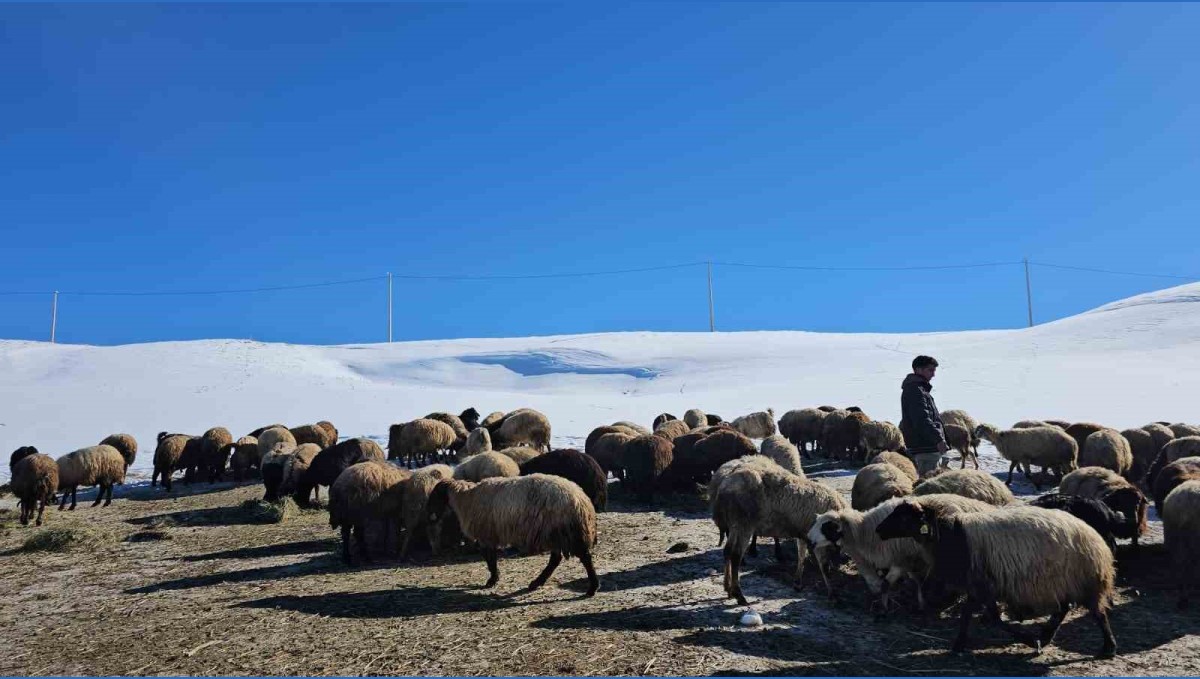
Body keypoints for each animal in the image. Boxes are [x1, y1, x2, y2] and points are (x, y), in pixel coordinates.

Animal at [427, 477, 604, 599]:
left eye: (434, 496)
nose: (431, 517)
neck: (466, 498)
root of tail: (582, 501)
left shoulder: (487, 535)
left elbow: (490, 559)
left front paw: (492, 580)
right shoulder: (489, 535)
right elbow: (490, 558)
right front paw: (494, 579)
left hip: (566, 533)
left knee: (584, 558)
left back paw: (592, 588)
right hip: (556, 534)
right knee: (556, 559)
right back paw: (536, 583)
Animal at [710, 460, 844, 604]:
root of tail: (725, 484)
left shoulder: (804, 535)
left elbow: (801, 556)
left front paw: (798, 582)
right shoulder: (818, 539)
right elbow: (823, 565)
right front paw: (832, 594)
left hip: (735, 525)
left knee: (727, 551)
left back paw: (728, 588)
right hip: (744, 525)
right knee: (736, 555)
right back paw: (739, 595)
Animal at [811, 494, 998, 611]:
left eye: (827, 527)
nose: (810, 540)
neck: (867, 533)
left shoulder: (901, 559)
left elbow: (888, 584)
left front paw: (884, 609)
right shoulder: (907, 561)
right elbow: (912, 581)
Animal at [873, 503, 1113, 657]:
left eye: (905, 517)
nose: (878, 530)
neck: (948, 536)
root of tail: (1095, 537)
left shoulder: (982, 584)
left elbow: (991, 618)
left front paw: (1029, 641)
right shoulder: (978, 585)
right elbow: (972, 615)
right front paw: (959, 644)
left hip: (1084, 581)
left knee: (1098, 613)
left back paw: (1108, 649)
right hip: (1061, 583)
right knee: (1064, 609)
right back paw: (1046, 636)